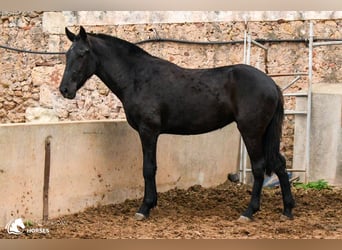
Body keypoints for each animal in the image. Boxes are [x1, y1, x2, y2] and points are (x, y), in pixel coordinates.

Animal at [58, 25, 294, 221]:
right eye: (67, 54)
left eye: (83, 53)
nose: (65, 89)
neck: (136, 77)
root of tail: (271, 84)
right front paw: (151, 204)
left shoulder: (148, 131)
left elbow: (148, 168)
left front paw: (144, 208)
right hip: (264, 133)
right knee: (280, 164)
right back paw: (288, 210)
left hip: (251, 132)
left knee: (259, 167)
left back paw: (249, 212)